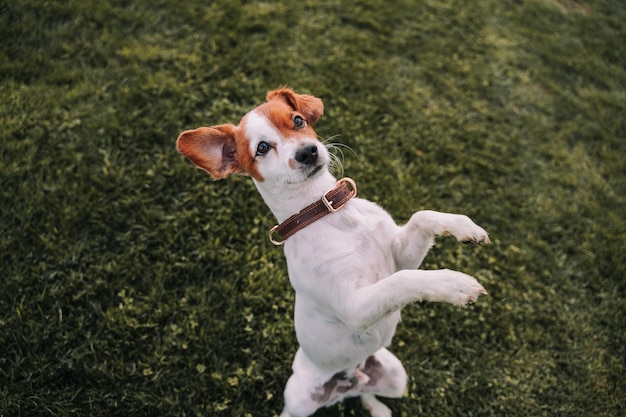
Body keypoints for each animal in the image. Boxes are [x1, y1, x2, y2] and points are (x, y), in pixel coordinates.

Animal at [174, 86, 488, 414]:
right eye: (261, 148)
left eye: (298, 121)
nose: (307, 151)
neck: (328, 213)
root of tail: (349, 379)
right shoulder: (355, 305)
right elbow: (402, 282)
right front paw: (454, 284)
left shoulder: (400, 257)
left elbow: (422, 217)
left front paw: (465, 227)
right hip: (298, 397)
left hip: (396, 375)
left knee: (366, 393)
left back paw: (376, 407)